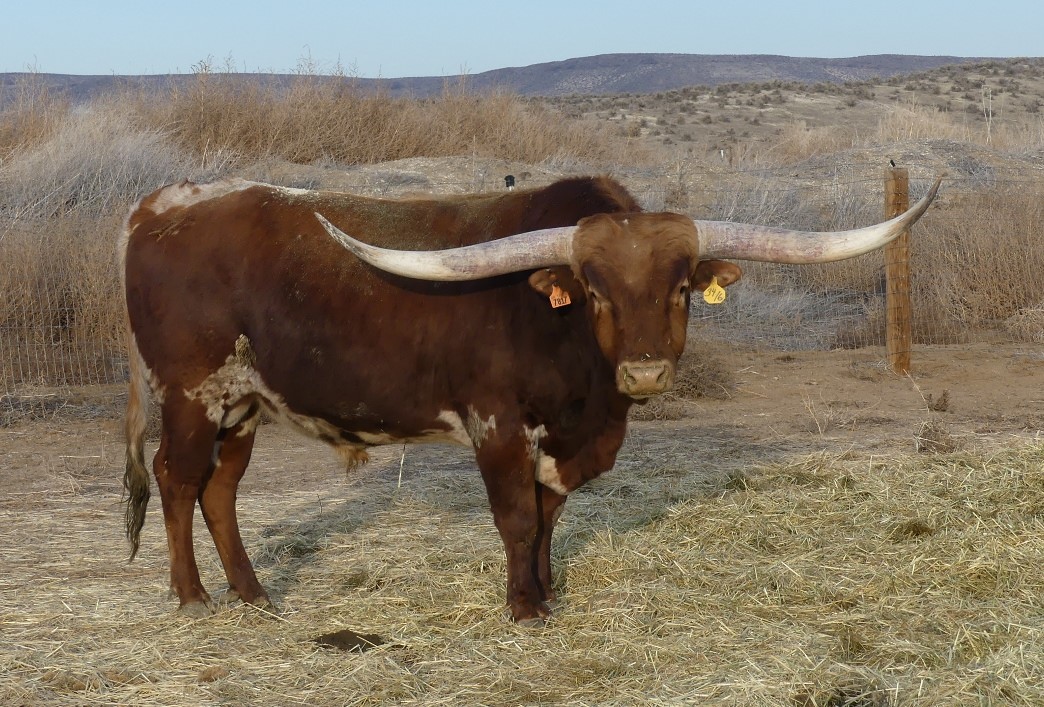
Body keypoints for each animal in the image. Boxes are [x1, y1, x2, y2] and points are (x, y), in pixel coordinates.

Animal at [121, 174, 941, 625]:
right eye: (596, 291)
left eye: (681, 288)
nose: (645, 375)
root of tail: (157, 206)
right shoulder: (498, 425)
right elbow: (517, 518)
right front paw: (522, 609)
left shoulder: (564, 438)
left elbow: (549, 519)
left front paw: (546, 592)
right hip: (192, 394)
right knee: (177, 481)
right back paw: (192, 596)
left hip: (243, 405)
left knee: (220, 490)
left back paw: (253, 593)